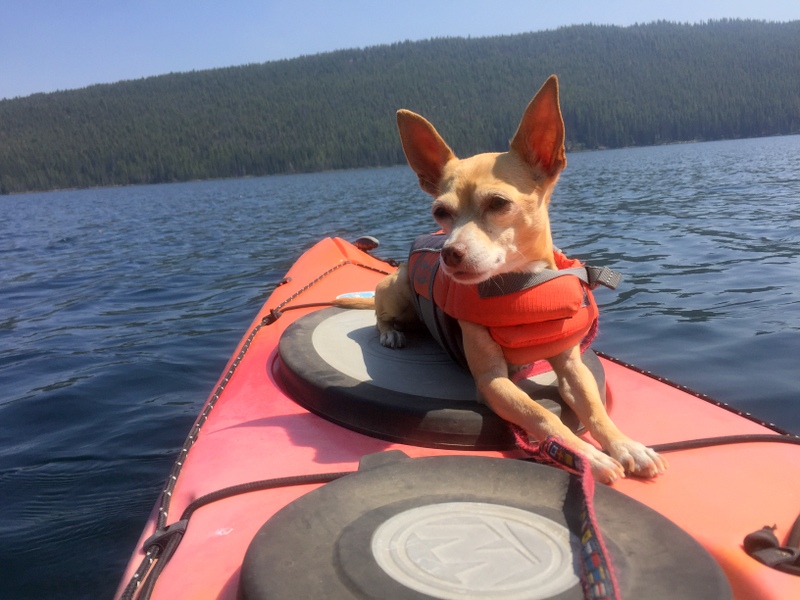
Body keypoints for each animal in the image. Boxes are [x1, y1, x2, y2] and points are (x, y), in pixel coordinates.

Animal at [376, 77, 668, 486]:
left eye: (498, 203)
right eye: (440, 211)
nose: (449, 253)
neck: (520, 289)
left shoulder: (572, 365)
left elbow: (595, 408)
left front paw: (626, 445)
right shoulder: (492, 383)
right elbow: (542, 415)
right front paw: (587, 456)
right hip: (397, 288)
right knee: (379, 311)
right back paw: (391, 333)